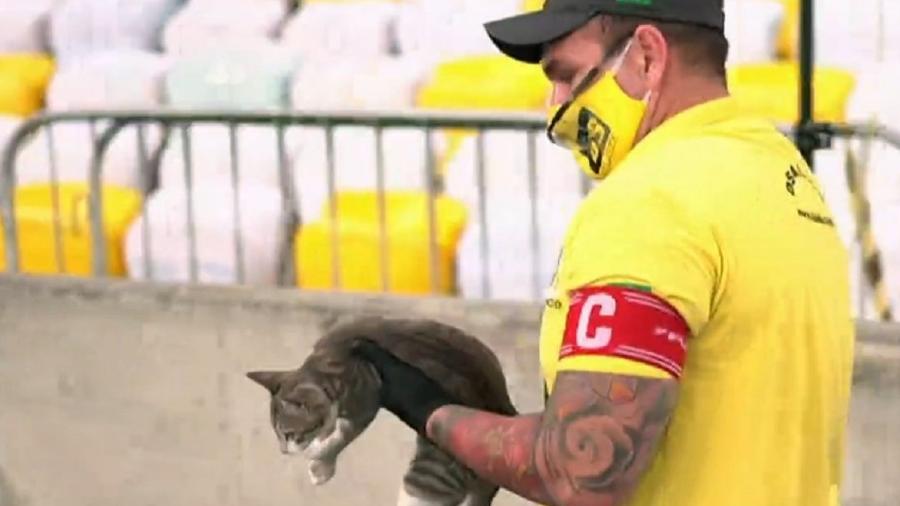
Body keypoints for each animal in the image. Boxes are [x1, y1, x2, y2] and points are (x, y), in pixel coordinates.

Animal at [246, 314, 516, 504]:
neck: (327, 357)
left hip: (426, 481)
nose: (282, 451)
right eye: (279, 435)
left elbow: (344, 434)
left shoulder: (366, 393)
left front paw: (320, 460)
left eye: (288, 434)